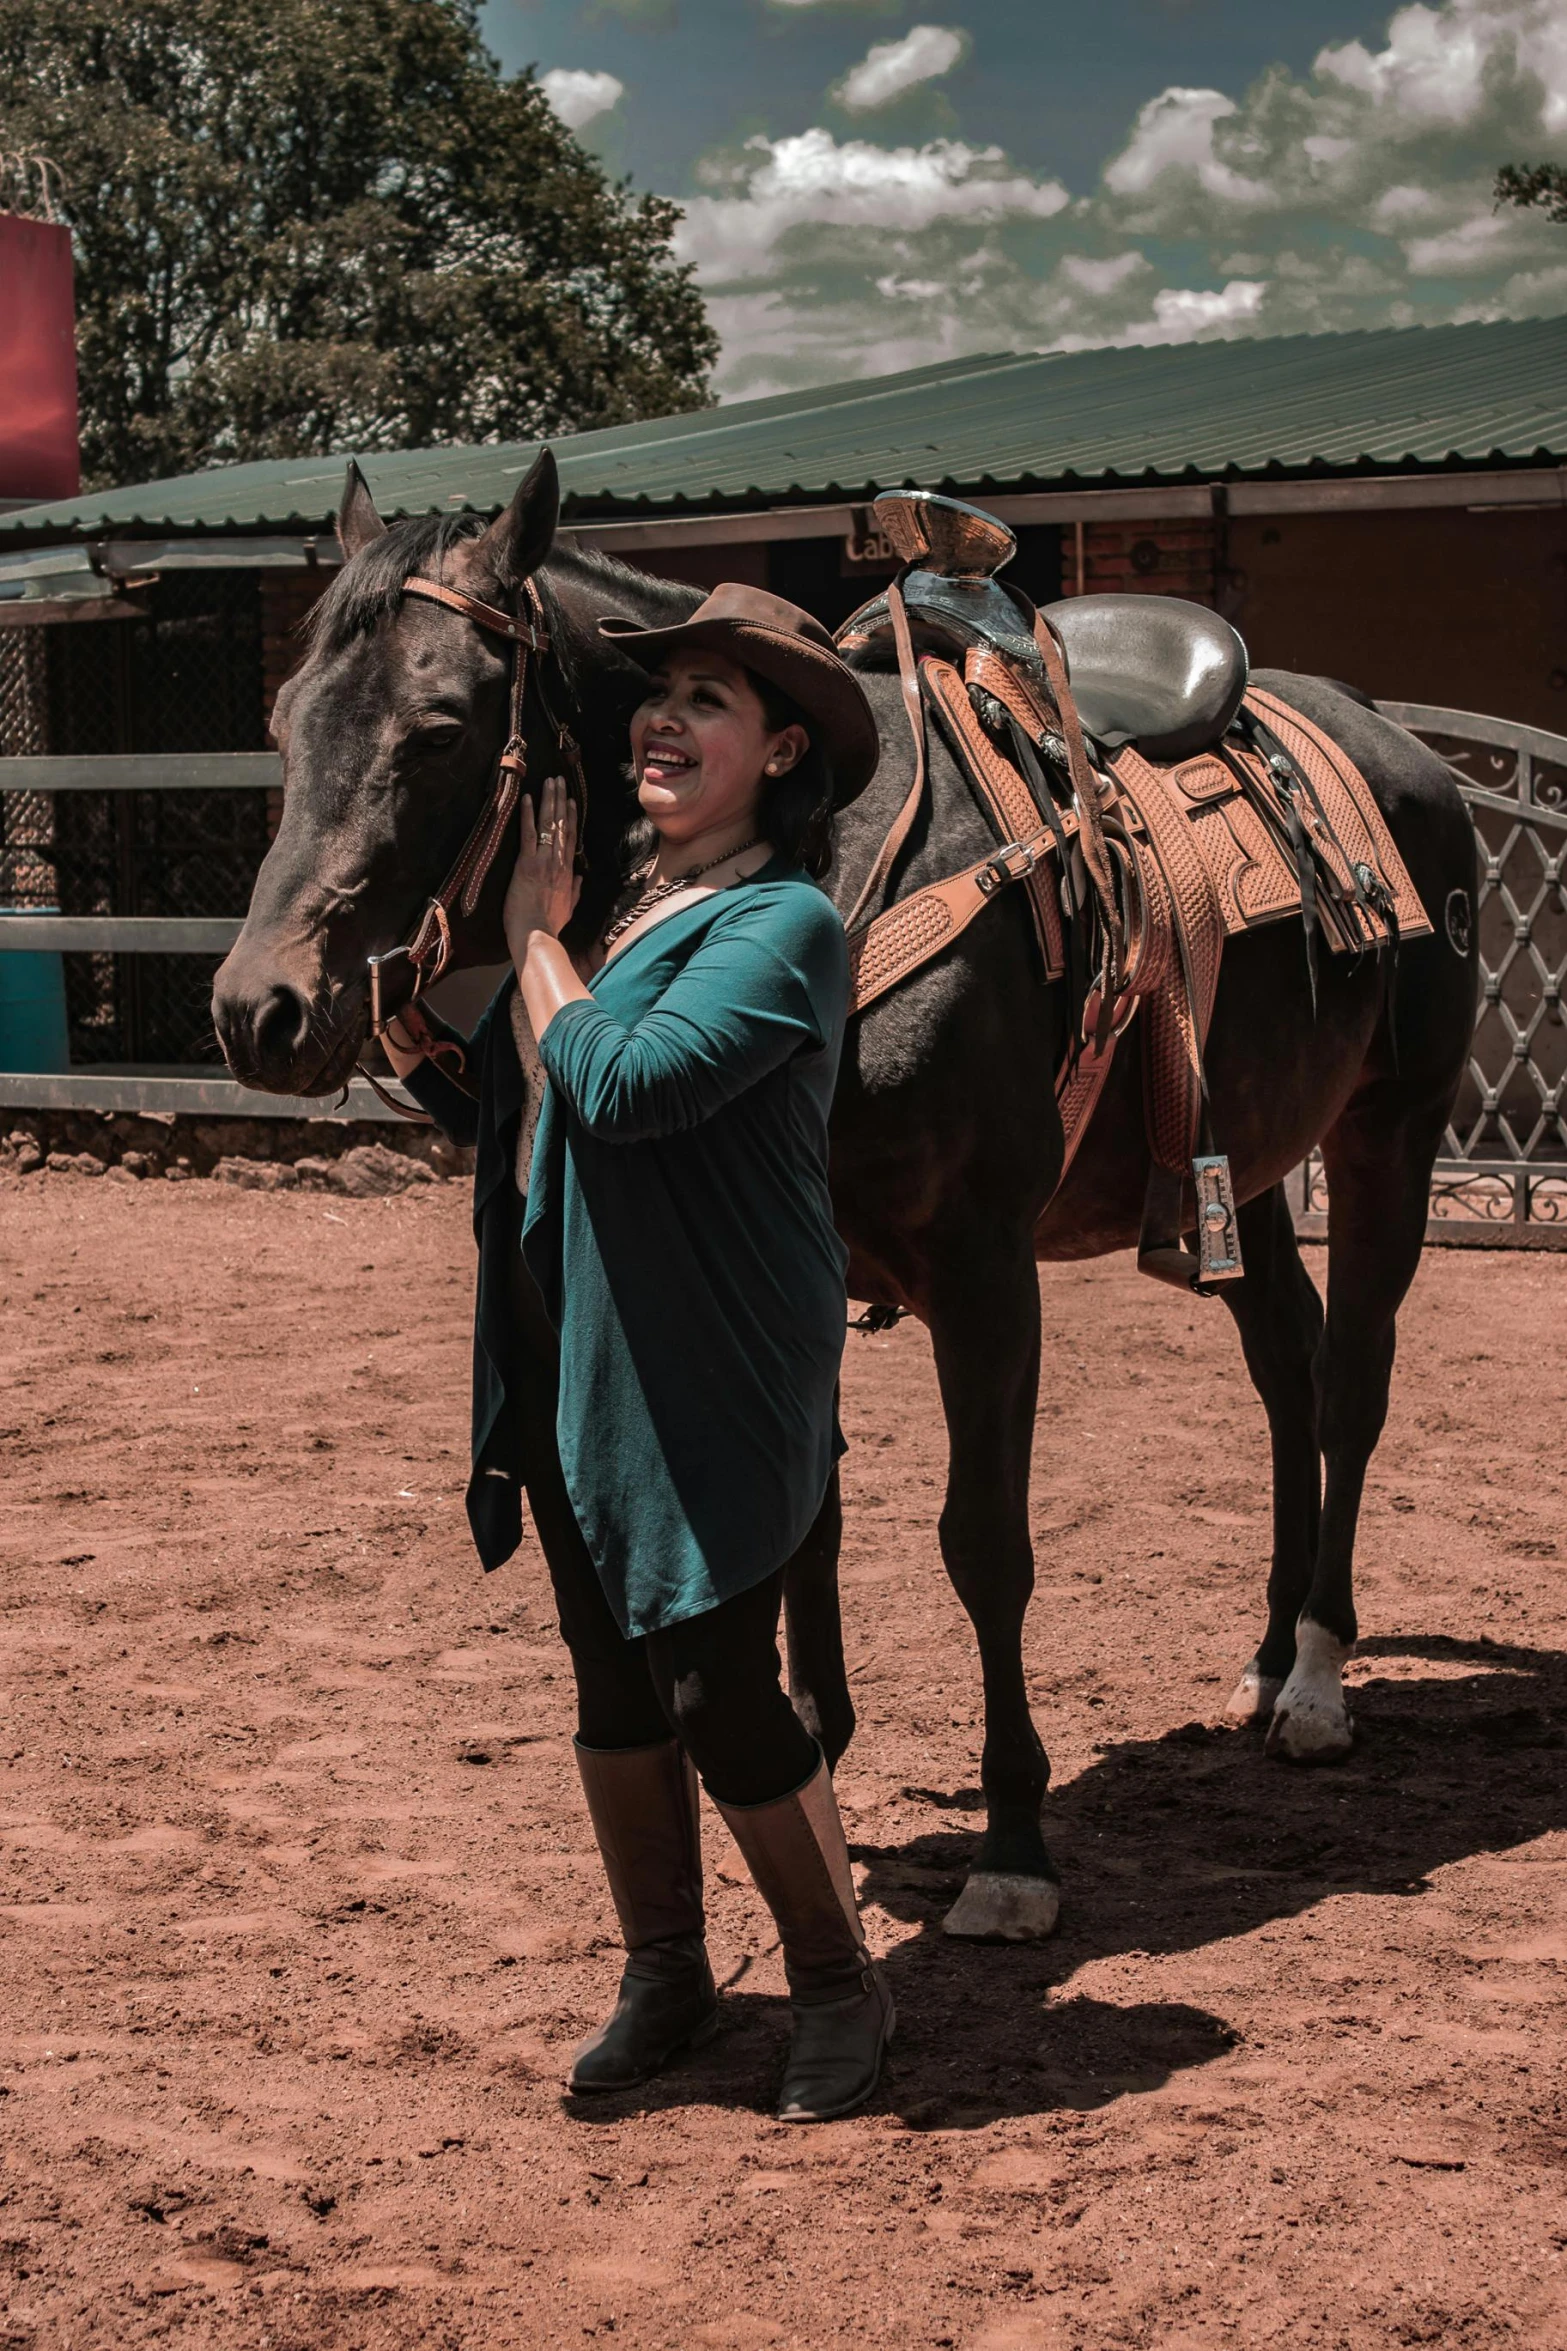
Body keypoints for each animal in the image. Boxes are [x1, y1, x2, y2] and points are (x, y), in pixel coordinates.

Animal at [214, 453, 1475, 1946]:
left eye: (440, 726)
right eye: (284, 723)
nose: (258, 1009)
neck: (820, 863)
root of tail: (1399, 746)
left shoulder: (984, 1275)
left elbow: (983, 1543)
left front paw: (1012, 1844)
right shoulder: (793, 1254)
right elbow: (798, 1506)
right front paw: (816, 1747)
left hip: (1390, 1135)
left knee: (1348, 1385)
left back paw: (1318, 1682)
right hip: (1249, 1168)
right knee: (1286, 1366)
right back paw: (1269, 1655)